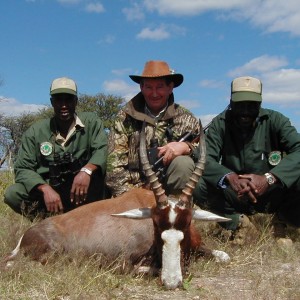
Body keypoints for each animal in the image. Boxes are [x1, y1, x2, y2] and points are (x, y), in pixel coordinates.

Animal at [1, 123, 230, 290]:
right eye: (155, 225)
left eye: (187, 223)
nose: (172, 282)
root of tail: (25, 238)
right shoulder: (124, 263)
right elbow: (146, 269)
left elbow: (224, 257)